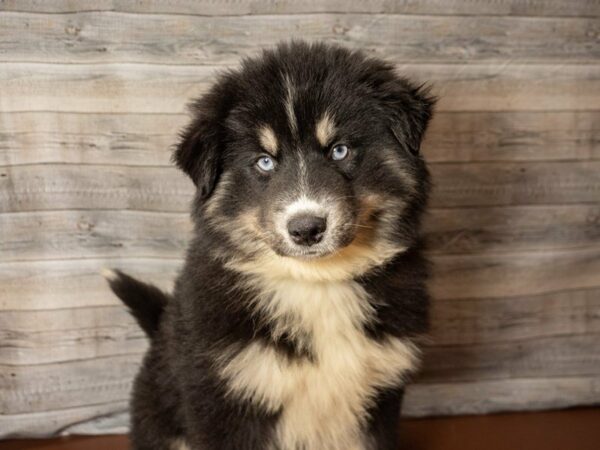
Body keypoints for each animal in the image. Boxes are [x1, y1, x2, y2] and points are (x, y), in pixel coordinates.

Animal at [105, 40, 436, 448]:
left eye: (339, 150)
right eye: (265, 162)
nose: (307, 229)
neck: (316, 284)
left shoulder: (379, 399)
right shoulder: (224, 397)